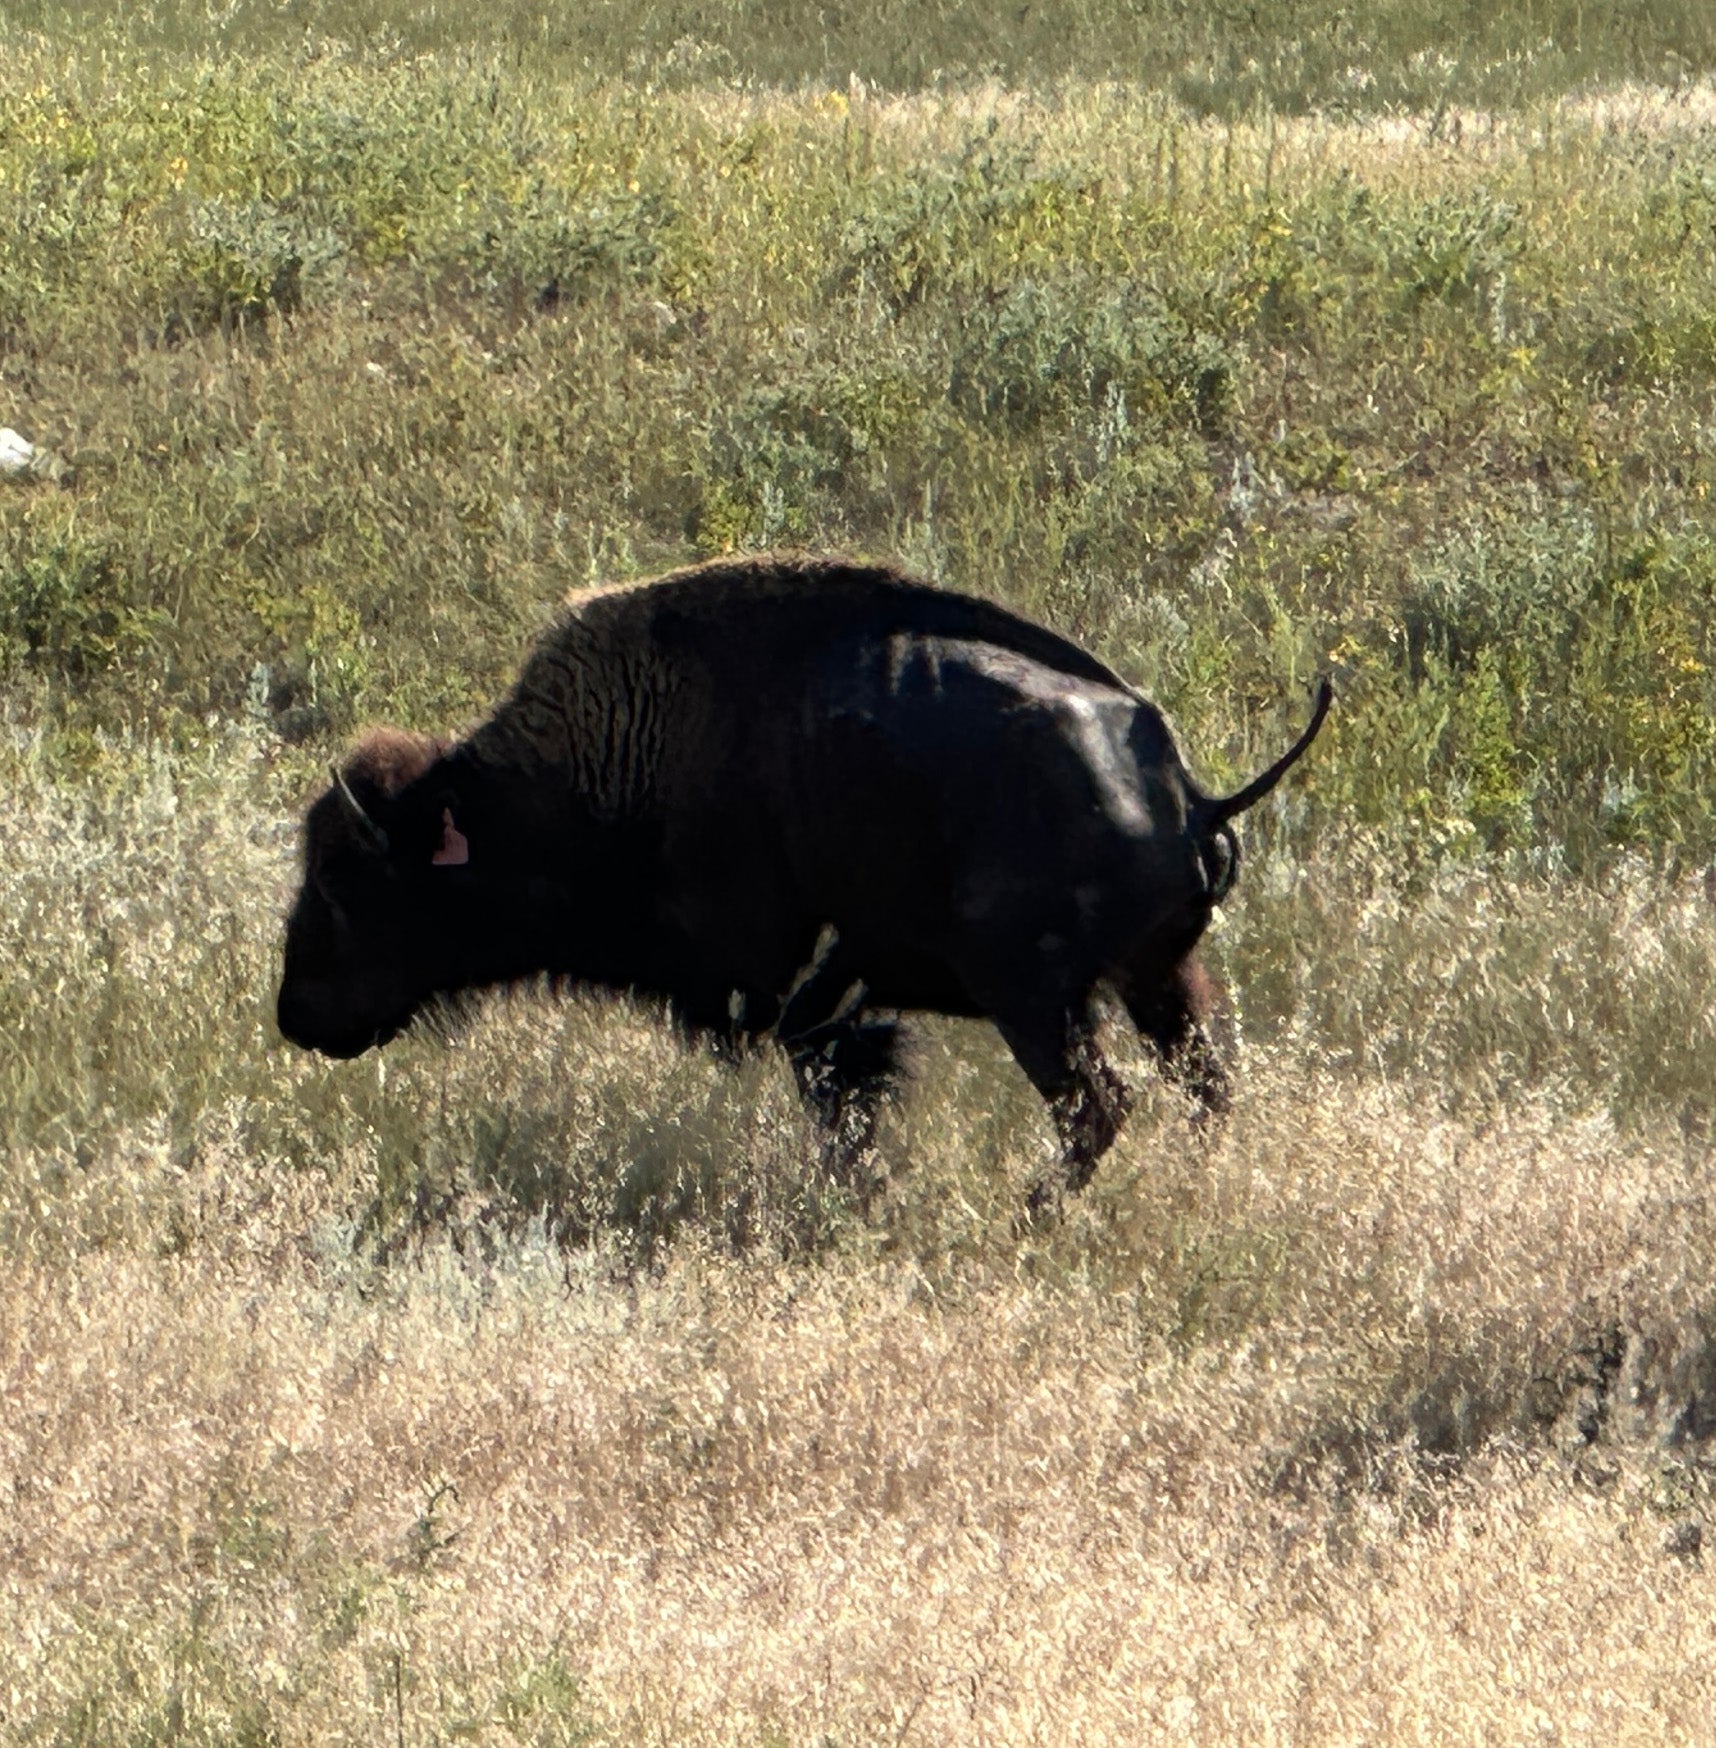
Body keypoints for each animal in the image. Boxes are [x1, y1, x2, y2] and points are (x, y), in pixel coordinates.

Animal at [277, 555, 1329, 1201]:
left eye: (347, 884)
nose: (295, 1013)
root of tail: (1188, 791)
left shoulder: (817, 1012)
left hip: (1037, 1001)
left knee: (1098, 1108)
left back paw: (1024, 1212)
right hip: (1158, 983)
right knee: (1201, 1084)